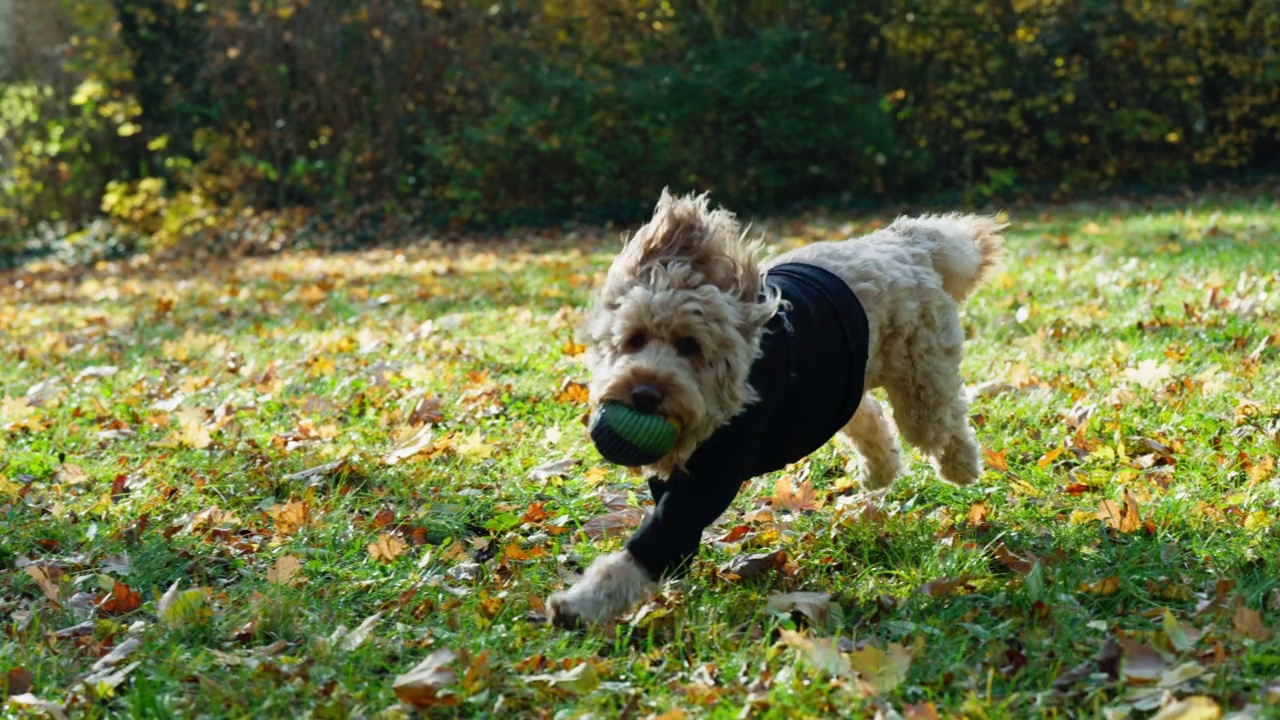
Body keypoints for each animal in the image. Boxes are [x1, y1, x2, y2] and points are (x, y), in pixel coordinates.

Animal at [545, 188, 1003, 625]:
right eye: (635, 339)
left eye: (690, 346)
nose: (644, 393)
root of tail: (908, 240)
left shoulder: (712, 474)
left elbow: (658, 541)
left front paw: (582, 603)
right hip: (837, 387)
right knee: (870, 416)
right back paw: (881, 471)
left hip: (918, 376)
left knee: (940, 421)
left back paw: (962, 467)